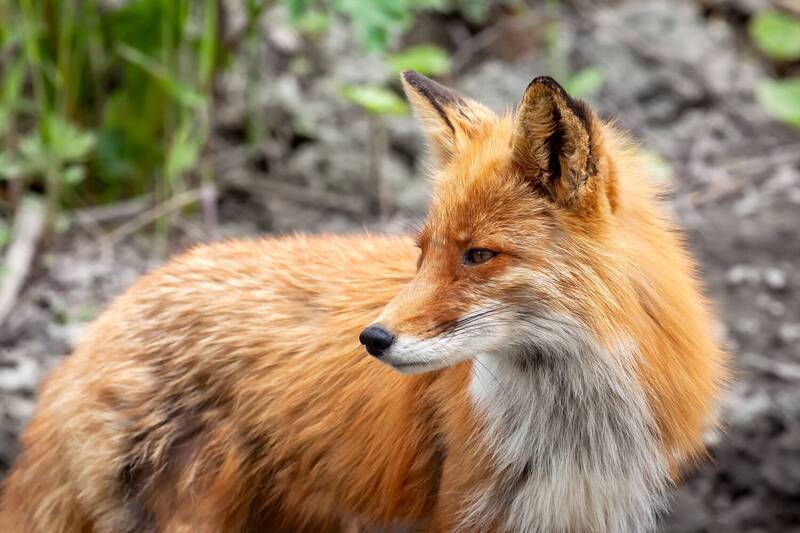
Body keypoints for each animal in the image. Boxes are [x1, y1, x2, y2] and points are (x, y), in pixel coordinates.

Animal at [0, 71, 727, 533]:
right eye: (422, 250)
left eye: (477, 255)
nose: (373, 338)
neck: (573, 431)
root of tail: (96, 329)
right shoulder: (470, 511)